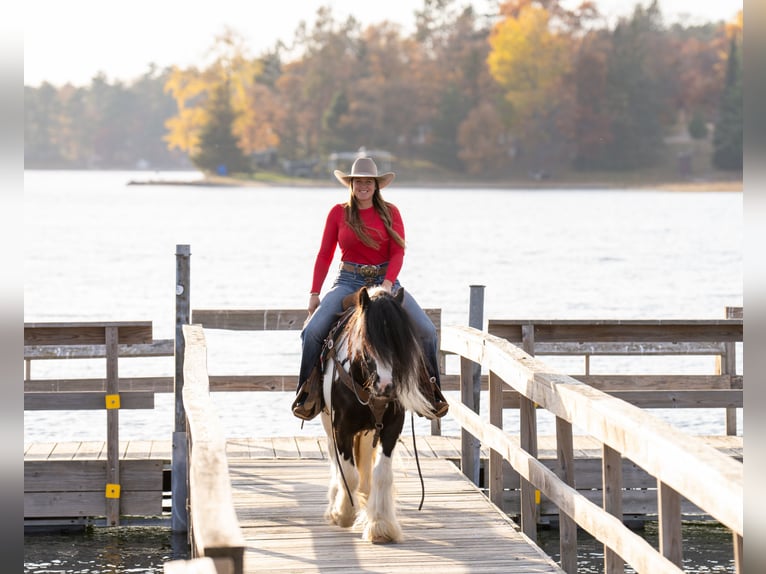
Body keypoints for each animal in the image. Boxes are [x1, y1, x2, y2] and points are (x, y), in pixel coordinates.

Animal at [320, 286, 436, 544]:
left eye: (399, 343)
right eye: (367, 342)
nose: (385, 386)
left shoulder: (392, 427)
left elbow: (381, 473)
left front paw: (381, 525)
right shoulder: (341, 428)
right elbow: (348, 473)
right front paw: (344, 513)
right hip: (327, 422)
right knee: (334, 458)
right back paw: (335, 504)